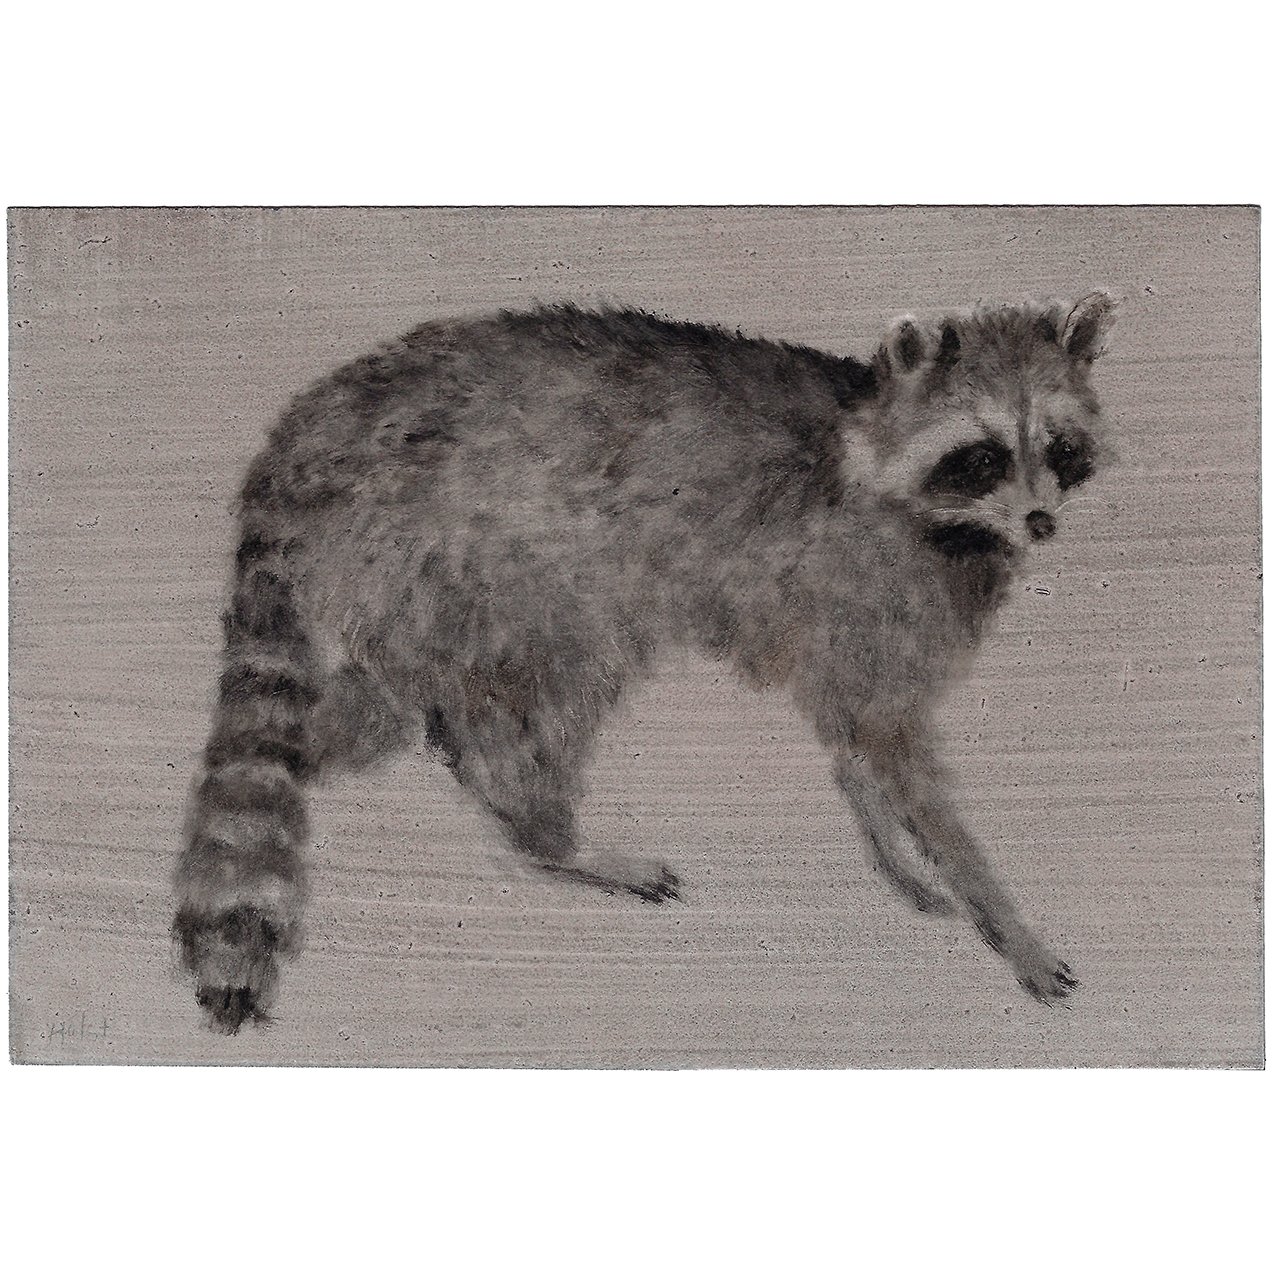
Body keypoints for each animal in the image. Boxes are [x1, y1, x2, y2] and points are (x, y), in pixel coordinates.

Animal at [173, 293, 1116, 1032]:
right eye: (983, 454)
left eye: (1059, 446)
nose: (1040, 523)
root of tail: (305, 434)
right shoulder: (863, 578)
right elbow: (893, 745)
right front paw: (1001, 918)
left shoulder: (848, 615)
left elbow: (853, 733)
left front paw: (893, 852)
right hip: (477, 554)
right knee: (546, 691)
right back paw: (549, 835)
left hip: (408, 588)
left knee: (359, 713)